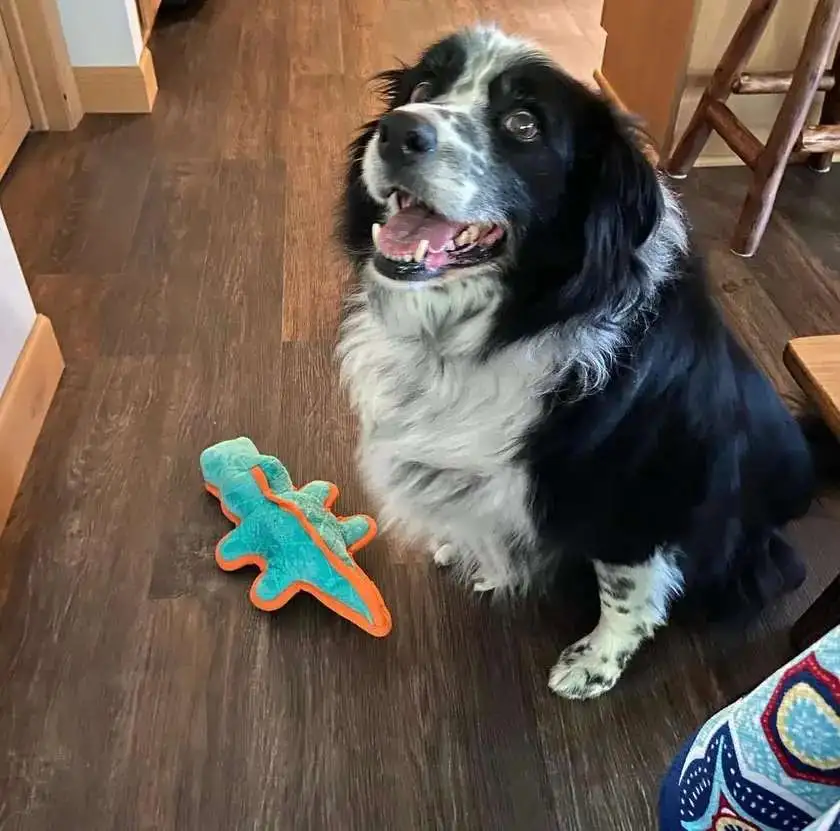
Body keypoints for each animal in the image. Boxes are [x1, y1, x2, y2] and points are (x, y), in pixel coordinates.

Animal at [336, 26, 814, 699]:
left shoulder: (637, 495)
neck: (489, 335)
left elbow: (625, 589)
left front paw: (594, 664)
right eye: (423, 87)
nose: (399, 129)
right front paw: (473, 549)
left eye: (524, 123)